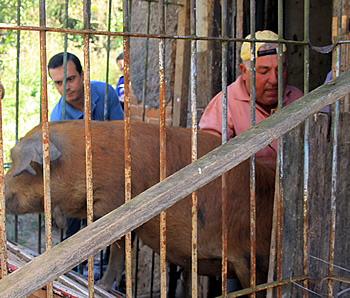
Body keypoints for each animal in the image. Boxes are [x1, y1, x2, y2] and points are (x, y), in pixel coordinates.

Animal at [4, 119, 274, 292]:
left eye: (19, 167)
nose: (2, 193)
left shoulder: (113, 202)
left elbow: (117, 250)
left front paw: (101, 286)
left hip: (254, 260)